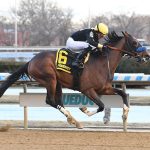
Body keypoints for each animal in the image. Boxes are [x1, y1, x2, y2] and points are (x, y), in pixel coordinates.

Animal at [0, 31, 148, 128]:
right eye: (135, 42)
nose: (147, 55)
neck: (102, 62)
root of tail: (31, 61)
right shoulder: (87, 89)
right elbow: (101, 105)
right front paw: (84, 109)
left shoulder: (104, 88)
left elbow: (123, 94)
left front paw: (125, 113)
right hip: (50, 79)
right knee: (50, 100)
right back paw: (71, 118)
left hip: (57, 83)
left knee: (58, 101)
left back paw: (73, 120)